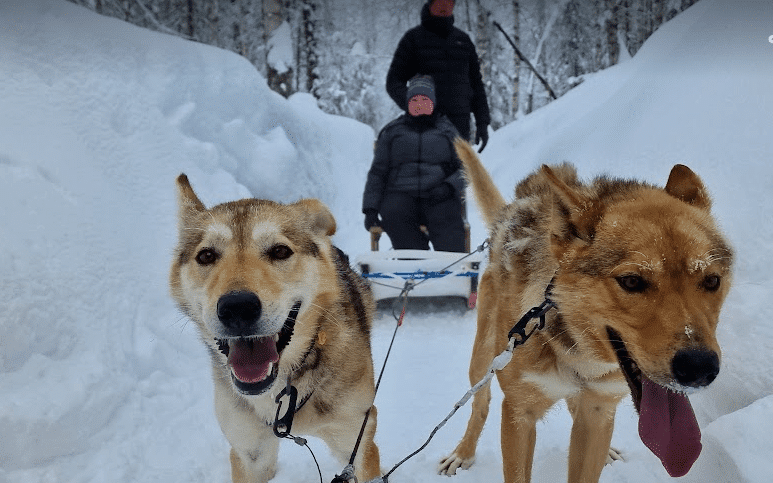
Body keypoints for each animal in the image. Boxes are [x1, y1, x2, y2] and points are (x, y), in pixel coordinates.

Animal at [438, 142, 732, 482]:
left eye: (711, 280)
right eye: (632, 281)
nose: (699, 368)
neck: (579, 354)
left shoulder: (598, 409)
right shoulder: (519, 412)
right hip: (484, 359)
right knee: (479, 403)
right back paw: (463, 452)